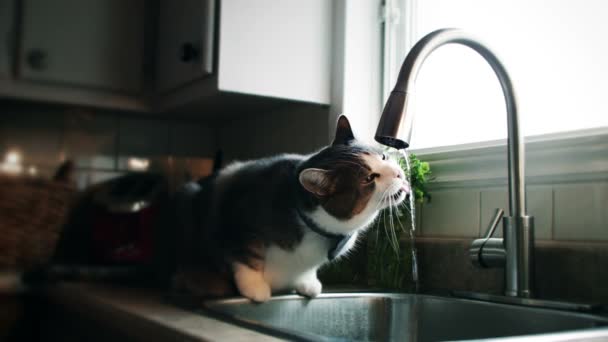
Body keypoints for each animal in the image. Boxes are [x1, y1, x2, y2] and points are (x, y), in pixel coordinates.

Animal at [171, 115, 408, 302]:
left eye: (383, 156)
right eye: (369, 178)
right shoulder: (242, 218)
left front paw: (307, 282)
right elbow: (247, 255)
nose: (398, 174)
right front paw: (255, 288)